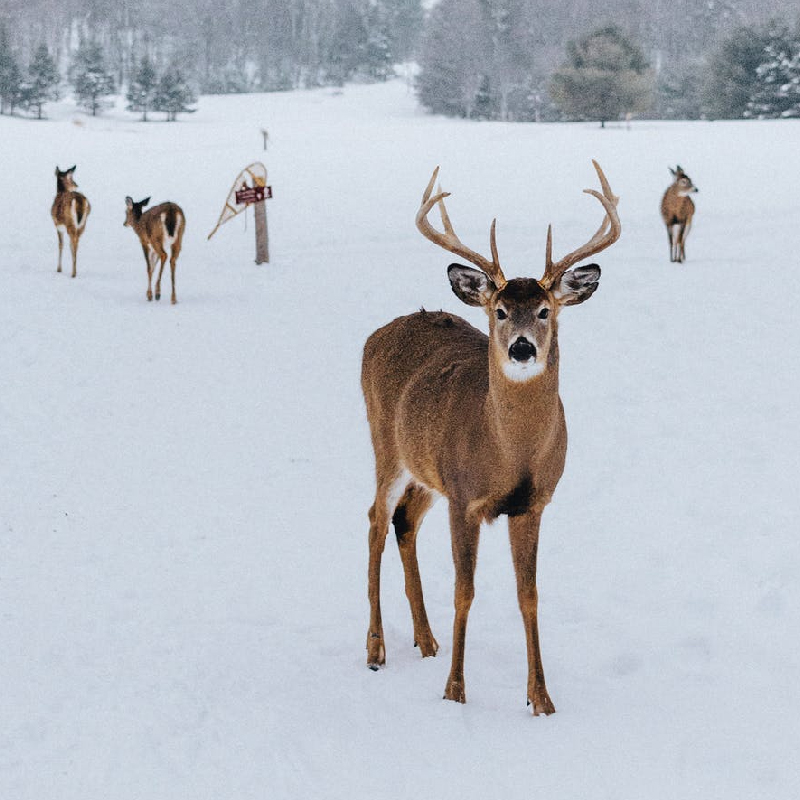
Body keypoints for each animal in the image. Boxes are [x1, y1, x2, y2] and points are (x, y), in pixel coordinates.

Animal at [360, 159, 620, 716]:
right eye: (499, 311)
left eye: (545, 310)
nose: (522, 348)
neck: (511, 454)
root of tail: (378, 333)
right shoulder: (465, 497)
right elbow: (465, 590)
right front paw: (455, 691)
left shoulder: (532, 503)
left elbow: (529, 595)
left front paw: (541, 698)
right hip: (386, 446)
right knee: (374, 520)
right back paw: (376, 649)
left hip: (426, 471)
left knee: (403, 520)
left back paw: (427, 640)